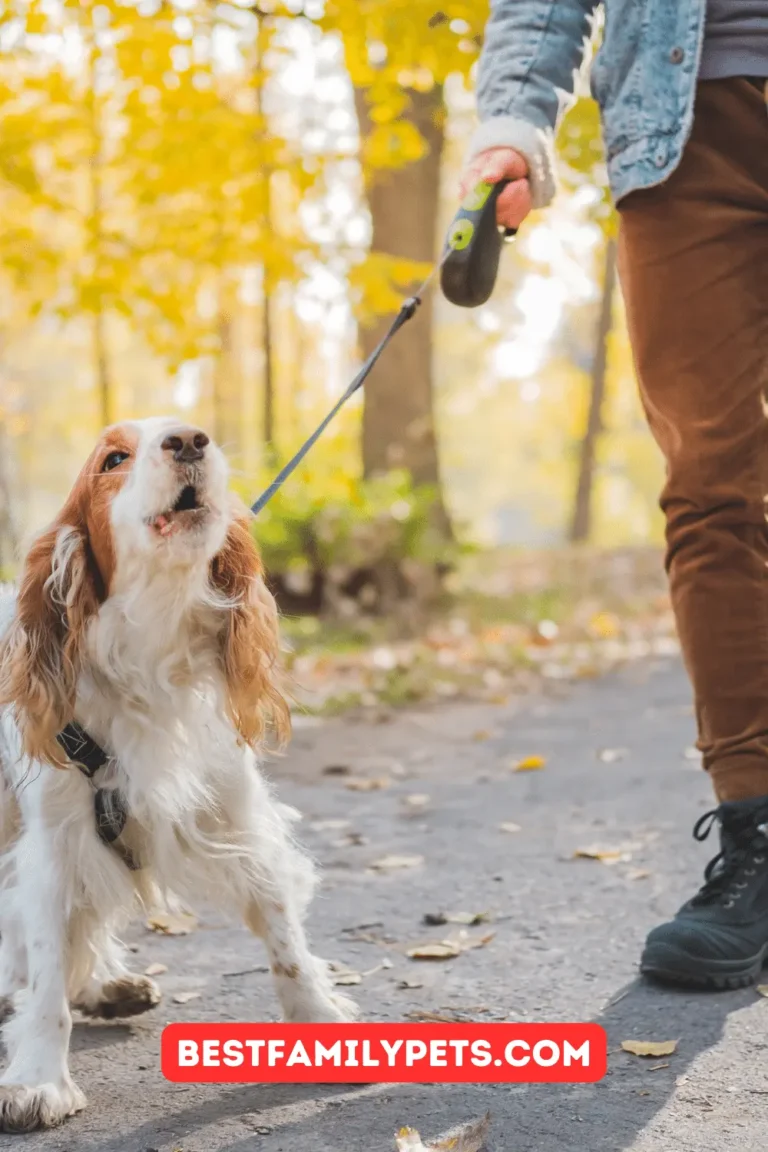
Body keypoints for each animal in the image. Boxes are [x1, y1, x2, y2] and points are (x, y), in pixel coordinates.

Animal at [0, 417, 356, 1133]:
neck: (149, 651)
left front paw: (319, 1021)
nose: (191, 441)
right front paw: (38, 1079)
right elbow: (46, 974)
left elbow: (285, 937)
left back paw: (109, 984)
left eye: (196, 433)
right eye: (113, 458)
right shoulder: (53, 845)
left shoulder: (239, 817)